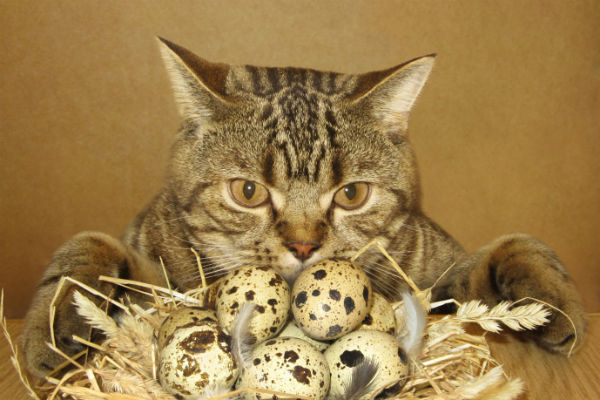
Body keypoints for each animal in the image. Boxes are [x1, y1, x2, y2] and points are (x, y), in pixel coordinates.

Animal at [22, 37, 584, 378]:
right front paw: (55, 321)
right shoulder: (161, 278)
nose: (303, 245)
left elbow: (516, 245)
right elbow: (87, 244)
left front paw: (553, 300)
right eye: (247, 192)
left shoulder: (435, 277)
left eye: (352, 195)